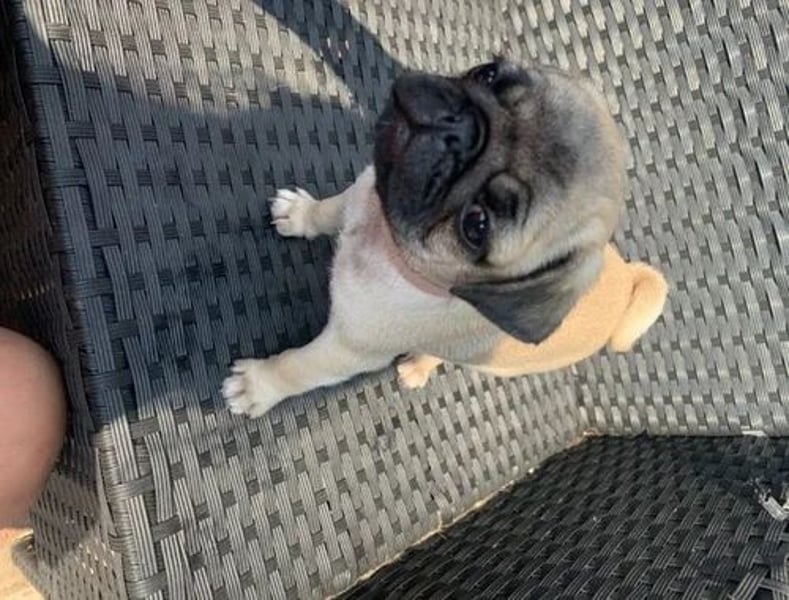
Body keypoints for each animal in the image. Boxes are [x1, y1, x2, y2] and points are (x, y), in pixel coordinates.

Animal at [222, 59, 668, 418]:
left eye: (477, 225)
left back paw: (419, 366)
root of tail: (629, 279)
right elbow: (329, 211)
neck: (386, 242)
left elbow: (299, 368)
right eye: (487, 74)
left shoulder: (348, 349)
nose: (460, 128)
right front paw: (300, 214)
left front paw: (257, 385)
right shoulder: (366, 192)